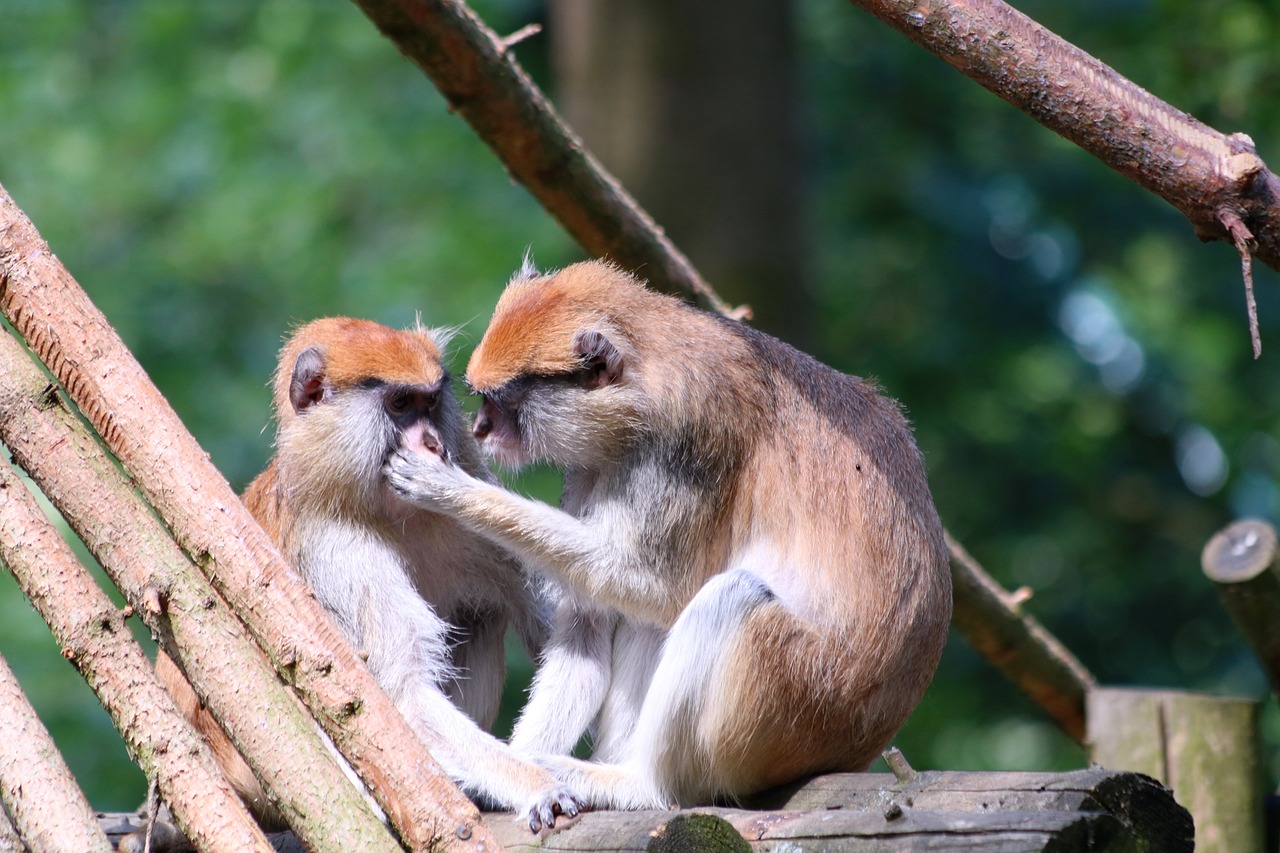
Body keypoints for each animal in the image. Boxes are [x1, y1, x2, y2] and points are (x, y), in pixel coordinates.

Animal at [151, 315, 586, 824]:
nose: (433, 444)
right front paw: (539, 784)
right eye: (399, 405)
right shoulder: (339, 549)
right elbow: (397, 701)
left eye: (430, 403)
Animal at [384, 258, 957, 809]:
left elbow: (659, 588)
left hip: (802, 704)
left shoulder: (690, 442)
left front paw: (448, 488)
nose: (480, 430)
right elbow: (590, 619)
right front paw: (516, 775)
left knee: (729, 597)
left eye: (501, 404)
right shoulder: (592, 465)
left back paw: (640, 785)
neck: (646, 375)